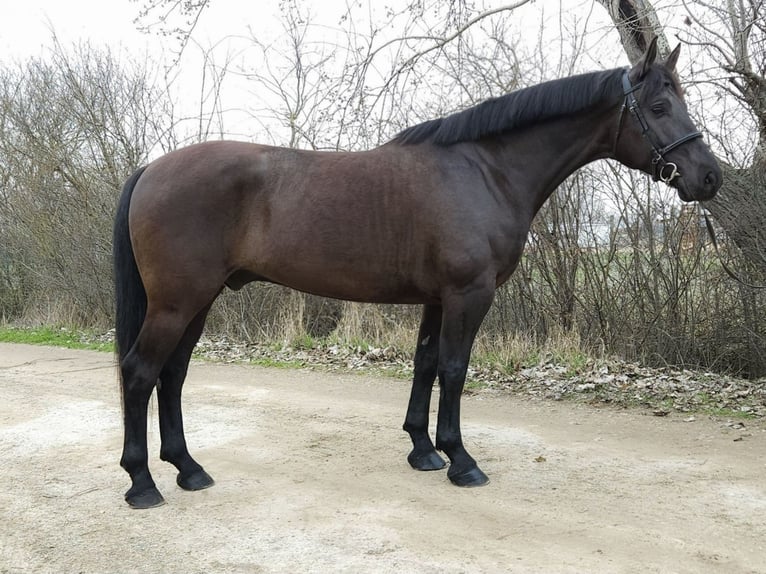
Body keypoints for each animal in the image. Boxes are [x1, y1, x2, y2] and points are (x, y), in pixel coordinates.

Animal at [114, 38, 721, 508]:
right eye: (660, 106)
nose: (710, 177)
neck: (485, 170)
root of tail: (151, 169)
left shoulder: (437, 298)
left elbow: (425, 364)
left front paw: (423, 450)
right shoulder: (468, 295)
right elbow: (453, 369)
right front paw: (461, 460)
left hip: (198, 301)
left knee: (172, 376)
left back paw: (189, 469)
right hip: (177, 302)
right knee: (142, 373)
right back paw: (143, 483)